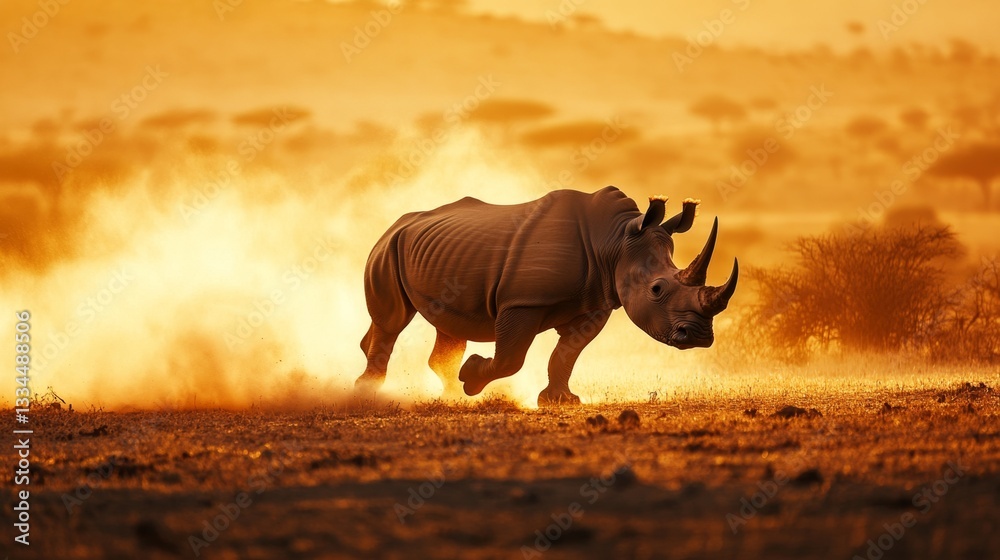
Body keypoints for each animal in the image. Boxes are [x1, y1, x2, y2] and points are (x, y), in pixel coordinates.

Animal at [355, 186, 738, 405]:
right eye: (657, 289)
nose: (699, 337)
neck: (615, 242)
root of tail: (397, 223)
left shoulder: (595, 305)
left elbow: (566, 353)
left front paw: (560, 401)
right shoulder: (522, 302)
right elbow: (512, 357)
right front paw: (472, 378)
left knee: (447, 325)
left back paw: (450, 396)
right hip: (387, 247)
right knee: (392, 320)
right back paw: (369, 391)